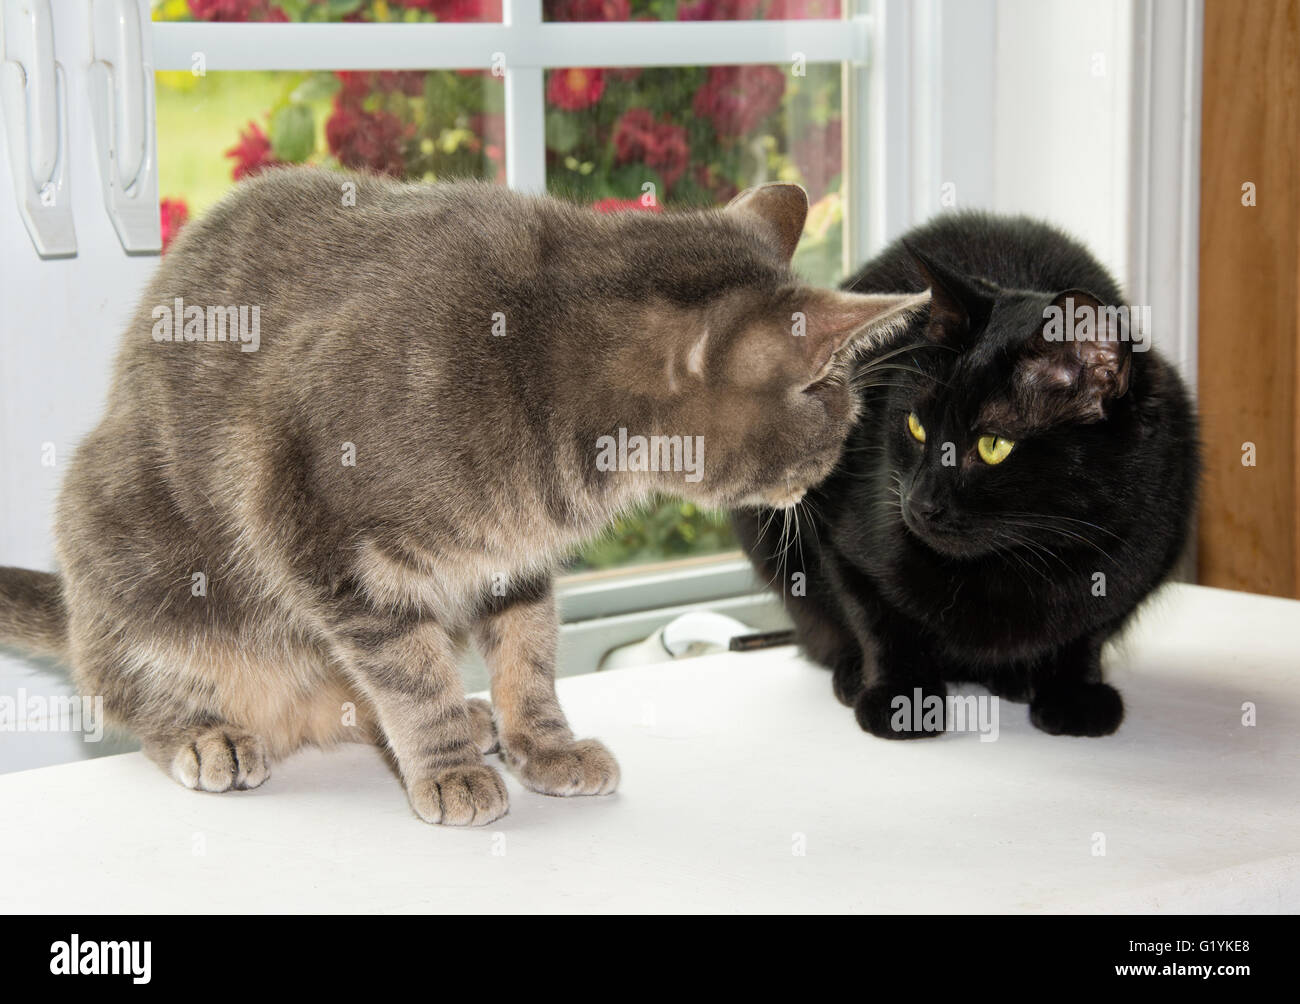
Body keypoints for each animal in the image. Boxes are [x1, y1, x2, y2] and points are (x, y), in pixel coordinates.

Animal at [2, 170, 925, 821]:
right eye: (839, 421)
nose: (826, 478)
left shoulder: (511, 562)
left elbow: (530, 657)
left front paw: (541, 746)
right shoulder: (314, 529)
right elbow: (408, 677)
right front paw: (444, 768)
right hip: (131, 557)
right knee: (128, 688)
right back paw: (208, 734)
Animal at [738, 211, 1201, 738]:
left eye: (993, 445)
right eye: (916, 425)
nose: (918, 503)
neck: (1019, 561)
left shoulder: (1141, 553)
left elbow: (1087, 631)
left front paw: (1074, 694)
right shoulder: (841, 538)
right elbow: (877, 620)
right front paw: (900, 701)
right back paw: (853, 673)